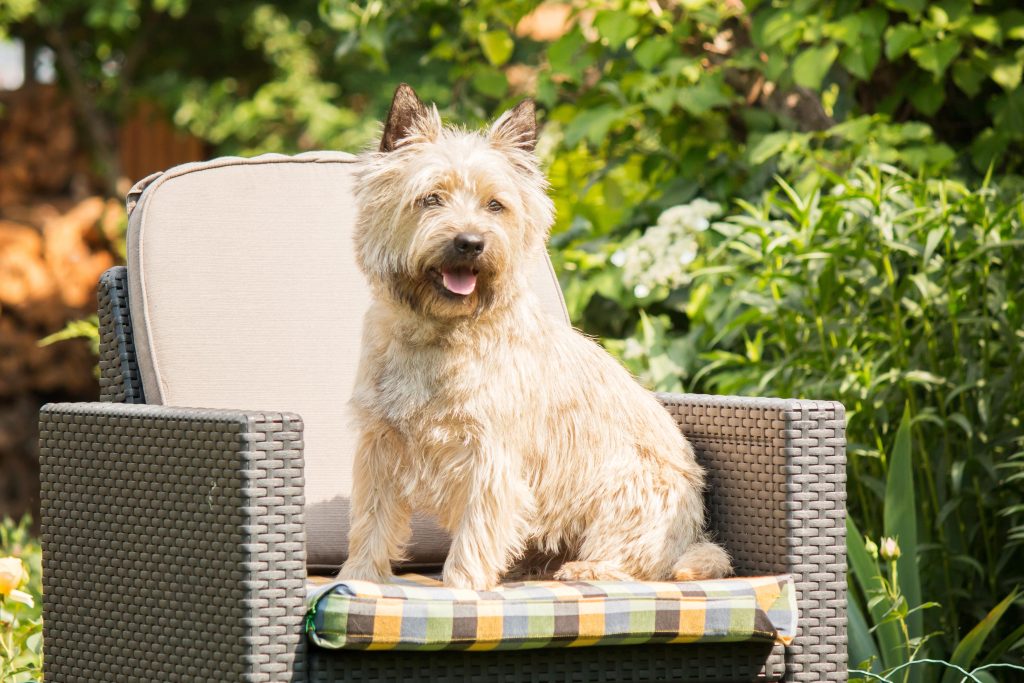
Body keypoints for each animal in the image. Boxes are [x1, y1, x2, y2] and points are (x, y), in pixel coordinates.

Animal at [337, 82, 729, 589]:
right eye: (431, 198)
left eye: (495, 205)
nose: (470, 243)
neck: (440, 333)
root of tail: (694, 534)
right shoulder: (381, 445)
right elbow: (371, 519)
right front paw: (360, 575)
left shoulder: (491, 457)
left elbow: (476, 532)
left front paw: (462, 587)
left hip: (631, 486)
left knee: (640, 561)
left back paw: (586, 567)